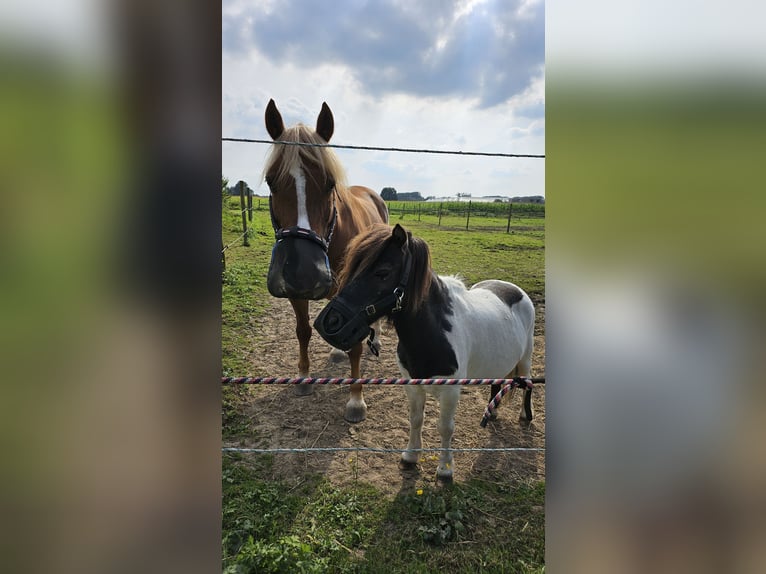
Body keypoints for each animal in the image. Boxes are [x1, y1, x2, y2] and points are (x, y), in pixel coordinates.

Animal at [262, 100, 390, 424]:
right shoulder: (296, 295)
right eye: (271, 181)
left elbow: (356, 346)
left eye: (329, 182)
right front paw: (304, 377)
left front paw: (356, 400)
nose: (303, 272)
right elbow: (303, 331)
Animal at [316, 225, 536, 482]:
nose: (328, 323)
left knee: (528, 383)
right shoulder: (412, 385)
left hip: (526, 358)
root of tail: (515, 289)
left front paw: (445, 469)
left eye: (382, 272)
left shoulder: (451, 391)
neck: (433, 332)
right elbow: (416, 419)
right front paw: (410, 456)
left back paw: (526, 415)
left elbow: (445, 427)